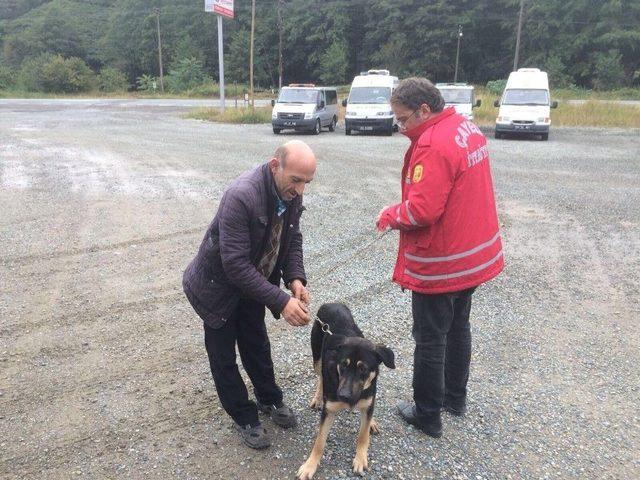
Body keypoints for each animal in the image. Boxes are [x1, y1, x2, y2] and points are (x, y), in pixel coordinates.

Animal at [296, 304, 396, 480]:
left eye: (363, 369)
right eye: (343, 365)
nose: (343, 395)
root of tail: (331, 303)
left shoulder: (368, 399)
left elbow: (363, 435)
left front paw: (360, 459)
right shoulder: (329, 410)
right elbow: (320, 442)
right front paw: (309, 466)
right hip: (317, 358)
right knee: (321, 376)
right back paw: (318, 398)